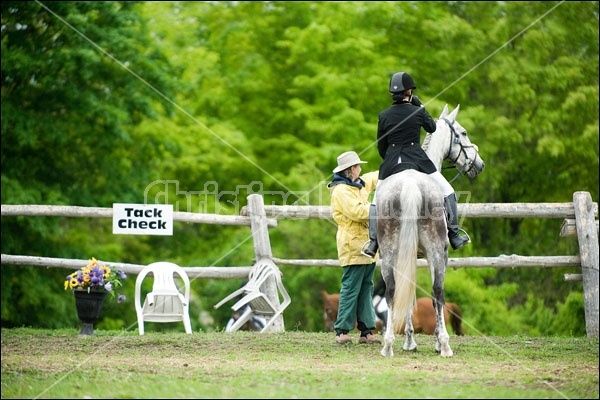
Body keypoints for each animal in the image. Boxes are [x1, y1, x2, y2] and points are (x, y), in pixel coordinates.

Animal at [382, 104, 486, 358]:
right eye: (464, 133)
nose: (479, 165)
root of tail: (410, 185)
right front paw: (429, 340)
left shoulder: (411, 256)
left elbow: (408, 296)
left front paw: (409, 340)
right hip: (438, 252)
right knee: (438, 292)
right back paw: (444, 345)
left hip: (390, 252)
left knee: (392, 290)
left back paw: (388, 345)